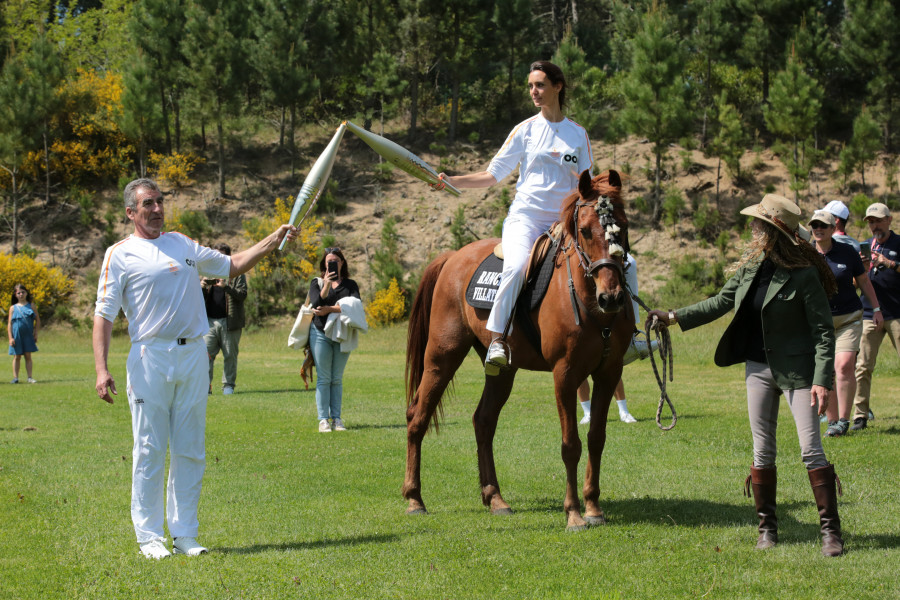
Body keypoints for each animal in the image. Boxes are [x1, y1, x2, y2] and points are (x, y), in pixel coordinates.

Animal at [404, 169, 628, 528]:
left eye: (624, 225)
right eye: (584, 230)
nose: (613, 297)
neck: (593, 307)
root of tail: (452, 257)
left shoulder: (608, 372)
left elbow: (596, 438)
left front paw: (593, 507)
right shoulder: (565, 374)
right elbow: (570, 444)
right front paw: (574, 513)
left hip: (502, 370)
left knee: (483, 421)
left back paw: (495, 498)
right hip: (441, 356)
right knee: (417, 416)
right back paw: (414, 498)